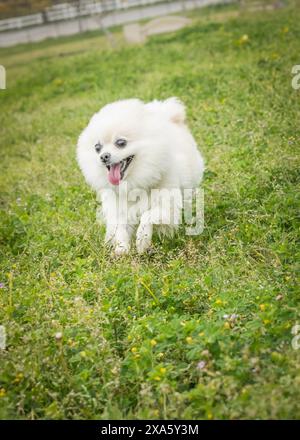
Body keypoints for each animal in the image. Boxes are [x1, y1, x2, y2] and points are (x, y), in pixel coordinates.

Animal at [76, 97, 205, 254]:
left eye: (121, 143)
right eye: (97, 148)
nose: (103, 156)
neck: (133, 183)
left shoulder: (167, 207)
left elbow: (147, 215)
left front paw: (142, 240)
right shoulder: (118, 209)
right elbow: (119, 228)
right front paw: (121, 248)